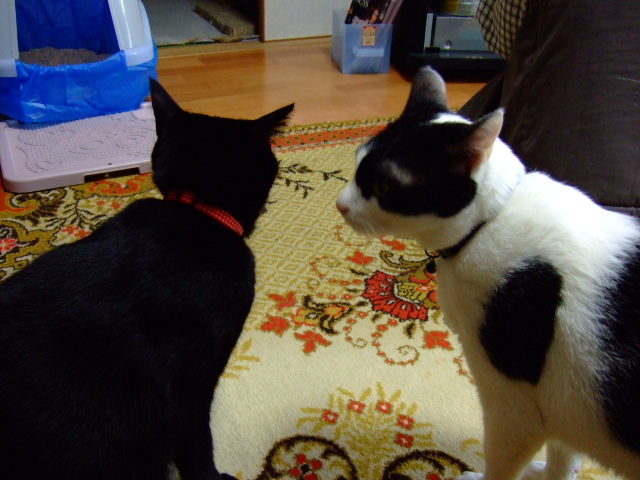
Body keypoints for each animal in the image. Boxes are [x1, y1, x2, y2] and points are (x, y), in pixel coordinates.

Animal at [336, 66, 640, 480]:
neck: (491, 219)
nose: (340, 204)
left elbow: (500, 464)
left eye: (382, 186)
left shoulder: (516, 411)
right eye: (357, 165)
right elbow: (563, 459)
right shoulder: (567, 412)